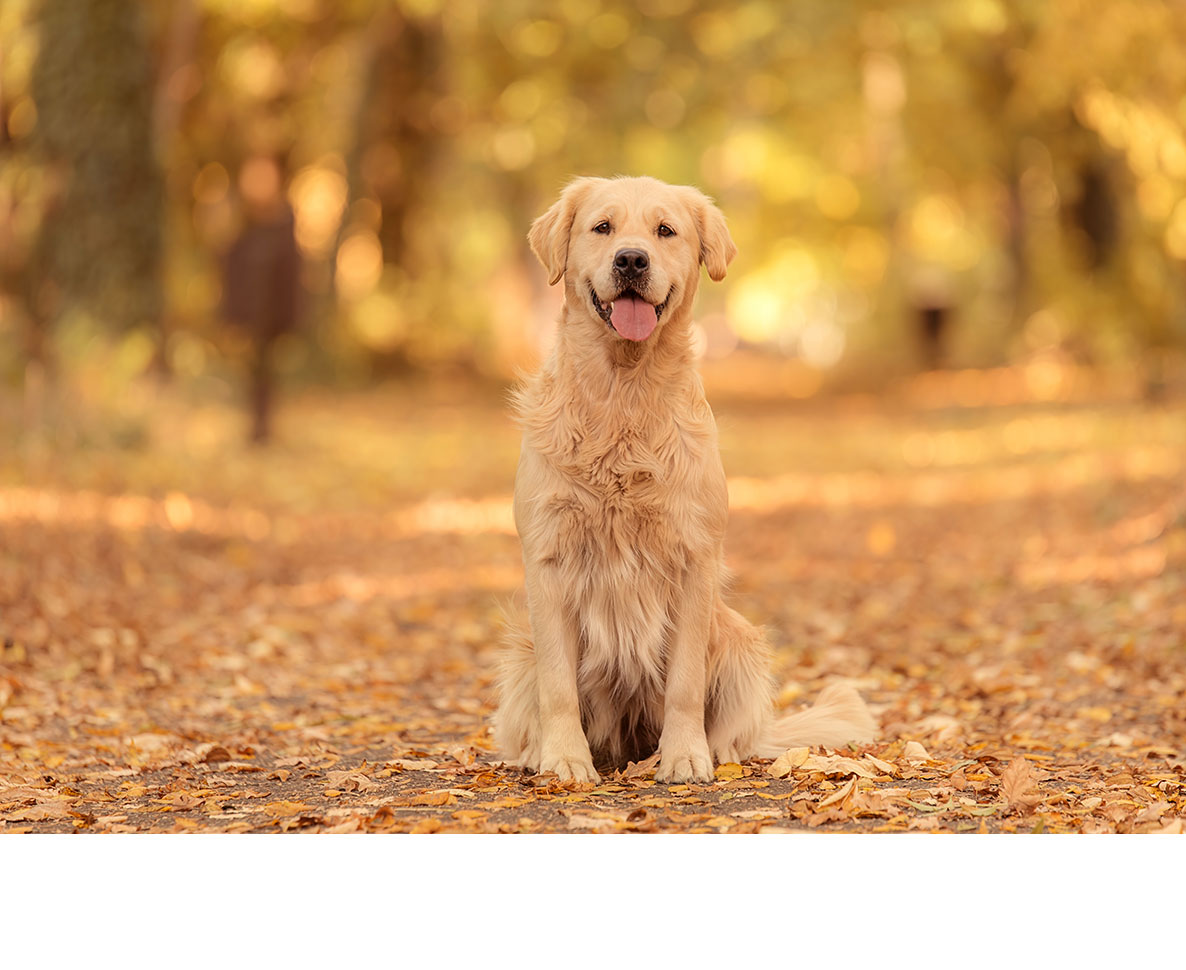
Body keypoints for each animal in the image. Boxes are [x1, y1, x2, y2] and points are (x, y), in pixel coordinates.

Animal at [495, 174, 877, 782]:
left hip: (740, 641)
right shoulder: (548, 556)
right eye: (602, 227)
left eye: (665, 230)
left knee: (738, 731)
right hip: (518, 654)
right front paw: (565, 760)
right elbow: (558, 686)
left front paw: (684, 756)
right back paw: (538, 755)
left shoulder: (694, 556)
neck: (623, 393)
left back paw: (718, 753)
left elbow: (685, 684)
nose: (631, 259)